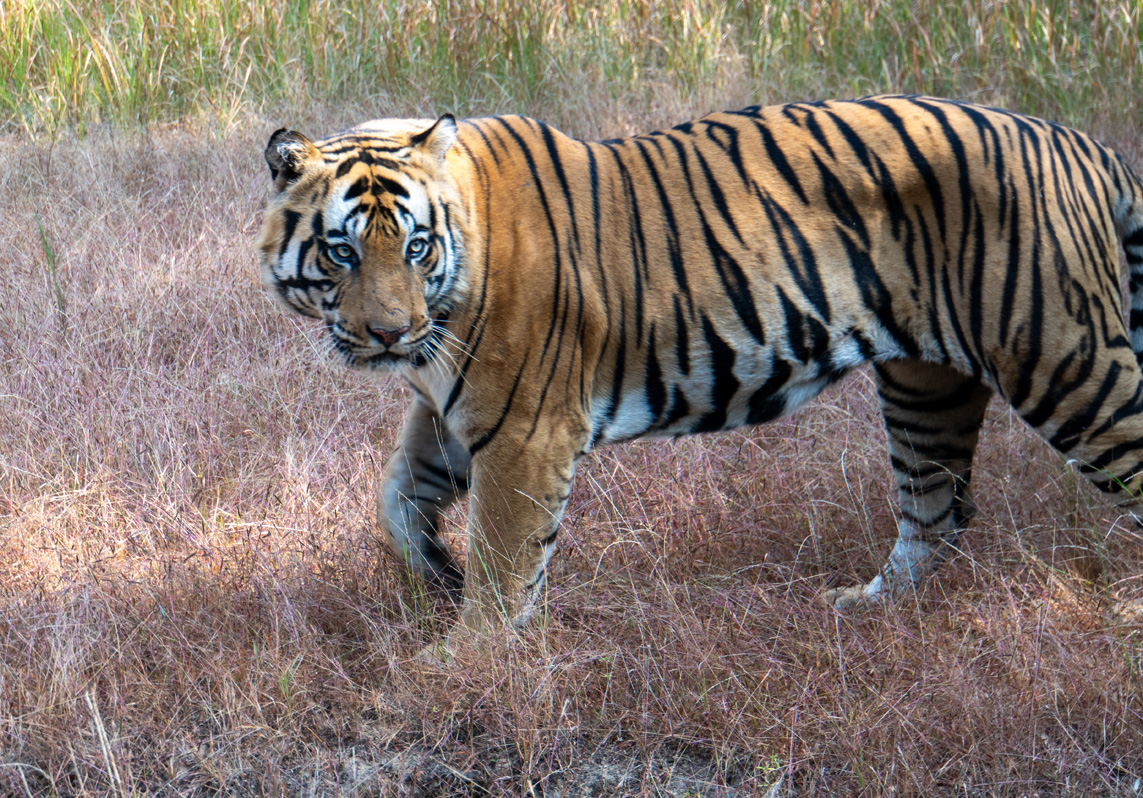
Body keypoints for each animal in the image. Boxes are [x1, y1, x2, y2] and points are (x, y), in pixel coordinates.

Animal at [255, 96, 1143, 634]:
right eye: (341, 251)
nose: (388, 334)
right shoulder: (453, 407)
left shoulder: (524, 430)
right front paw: (433, 571)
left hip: (1065, 364)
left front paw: (465, 659)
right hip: (927, 385)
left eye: (414, 246)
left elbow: (506, 557)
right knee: (937, 514)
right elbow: (397, 497)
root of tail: (1084, 146)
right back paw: (864, 610)